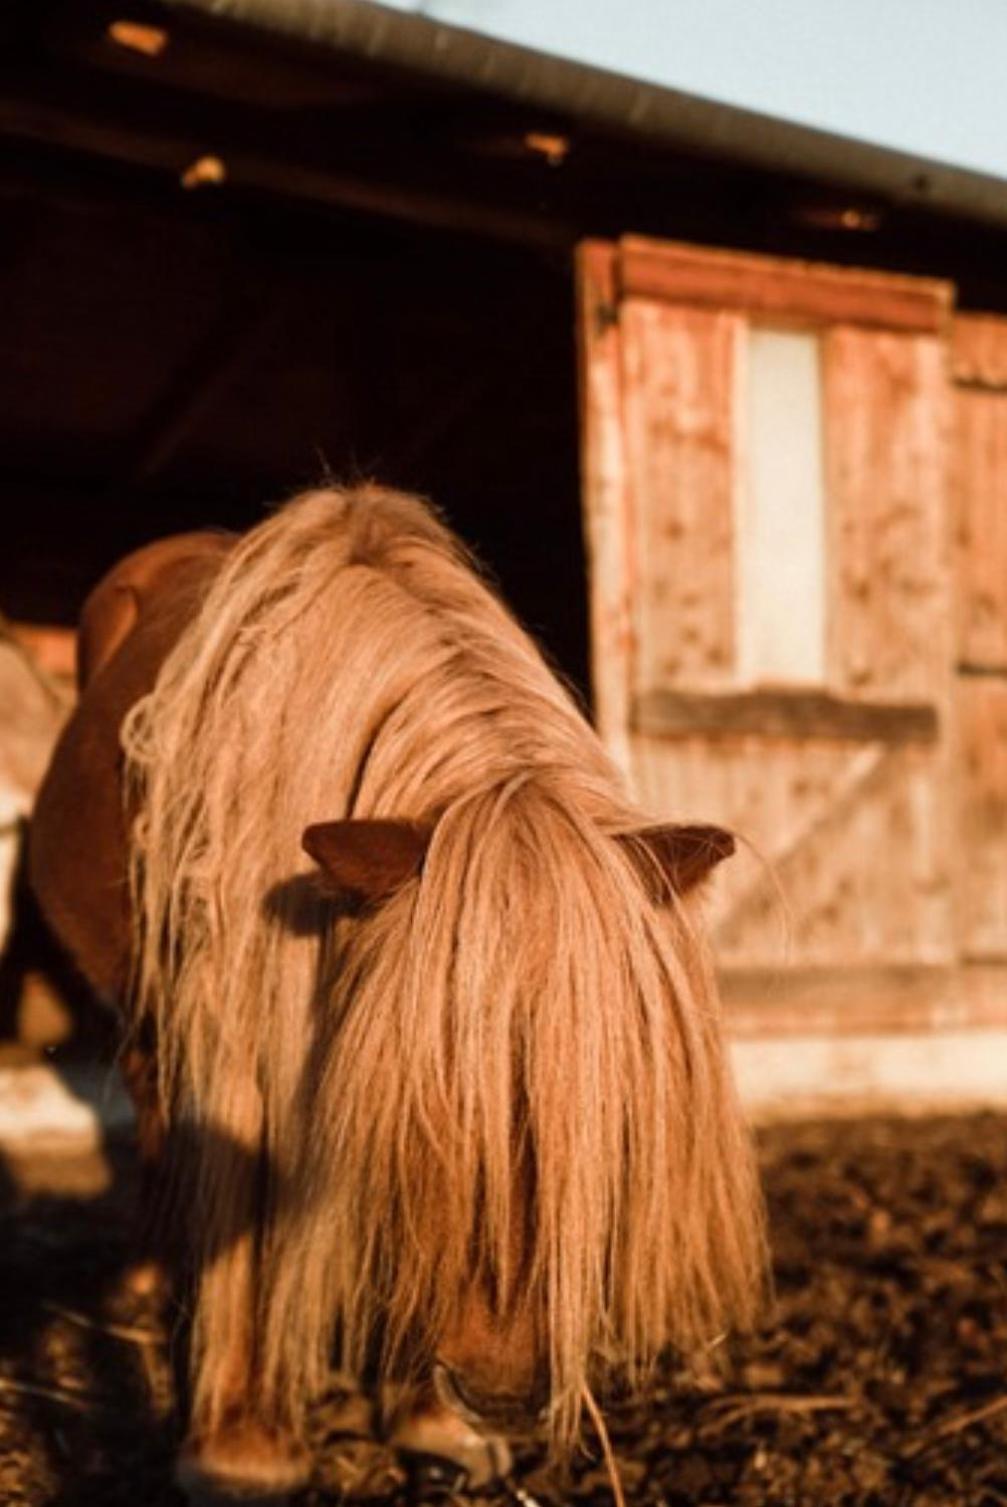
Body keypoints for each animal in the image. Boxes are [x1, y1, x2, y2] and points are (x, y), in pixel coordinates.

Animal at [29, 488, 762, 1500]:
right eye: (431, 1105)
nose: (498, 1391)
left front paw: (427, 1418)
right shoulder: (237, 1035)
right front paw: (240, 1445)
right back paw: (148, 1278)